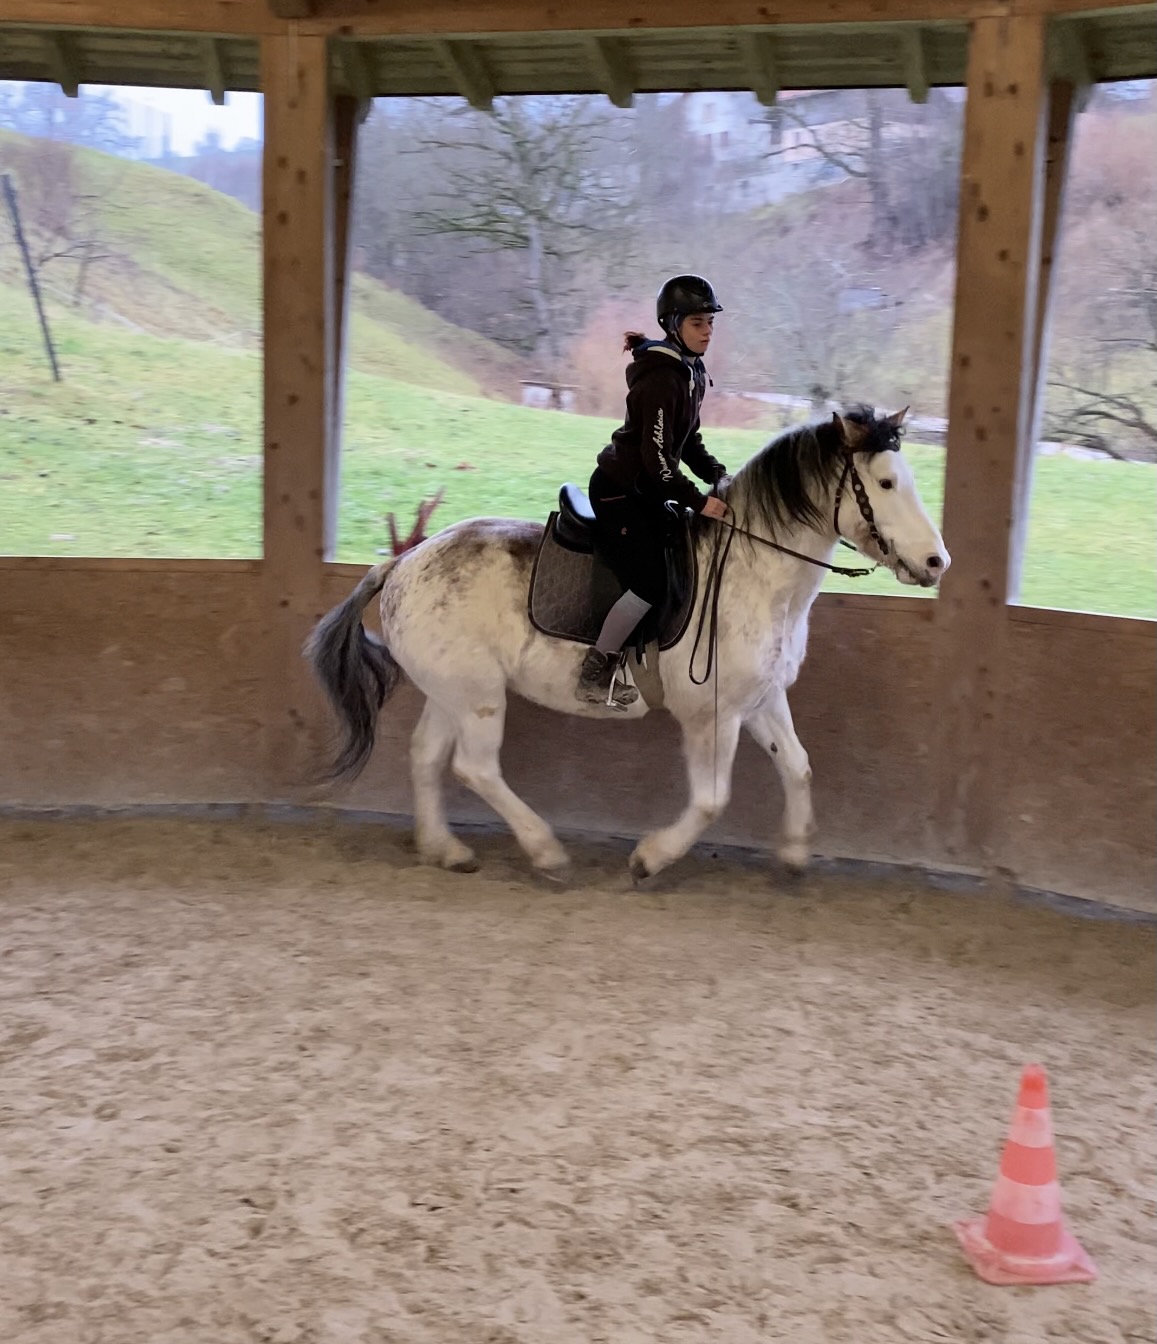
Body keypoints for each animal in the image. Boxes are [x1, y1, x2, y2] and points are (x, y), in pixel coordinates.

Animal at [305, 400, 946, 881]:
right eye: (885, 482)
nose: (937, 562)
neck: (756, 575)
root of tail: (402, 563)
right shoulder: (712, 714)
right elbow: (712, 800)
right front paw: (651, 858)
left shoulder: (761, 700)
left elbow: (798, 767)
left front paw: (792, 851)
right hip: (479, 696)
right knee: (475, 768)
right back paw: (544, 849)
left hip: (452, 692)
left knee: (428, 756)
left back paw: (445, 848)